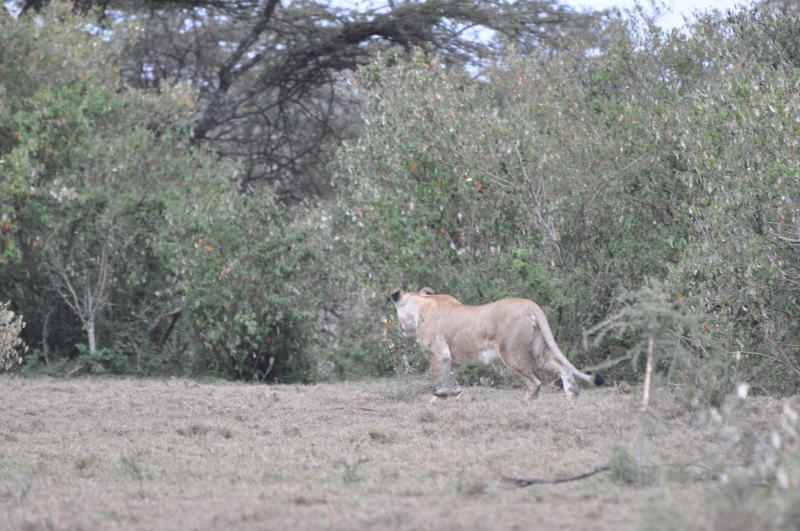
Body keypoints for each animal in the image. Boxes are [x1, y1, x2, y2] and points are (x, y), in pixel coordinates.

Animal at [390, 287, 604, 402]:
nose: (400, 328)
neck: (422, 303)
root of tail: (530, 304)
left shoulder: (440, 355)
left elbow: (436, 383)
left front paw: (442, 396)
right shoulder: (454, 362)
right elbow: (446, 382)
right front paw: (443, 398)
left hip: (511, 353)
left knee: (534, 383)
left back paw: (527, 403)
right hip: (538, 352)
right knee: (563, 369)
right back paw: (571, 396)